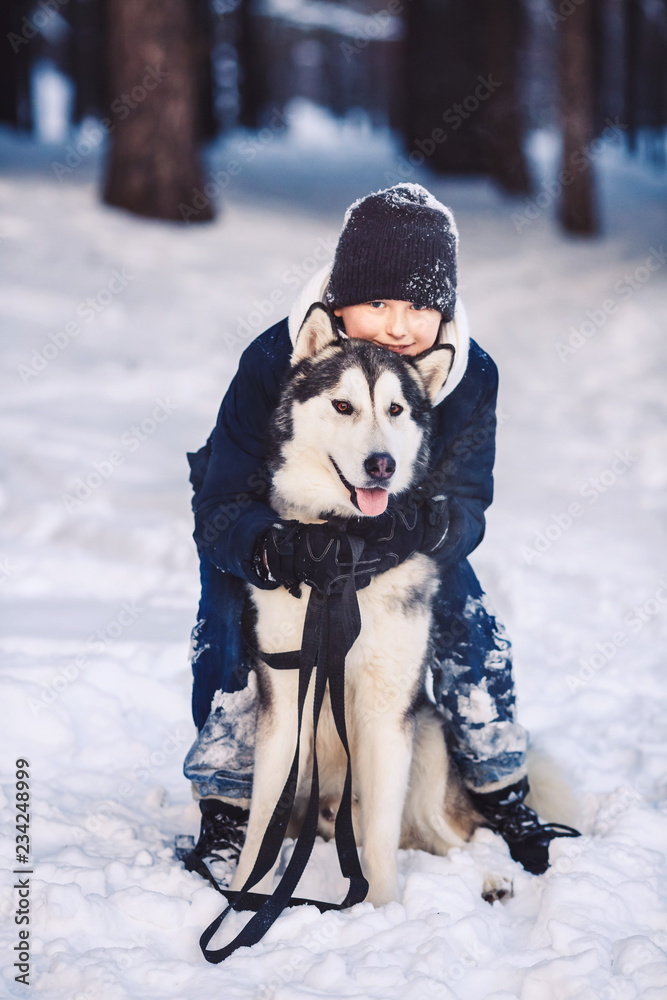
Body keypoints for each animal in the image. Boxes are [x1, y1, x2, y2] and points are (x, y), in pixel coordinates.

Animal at [234, 300, 486, 904]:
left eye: (395, 409)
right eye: (342, 405)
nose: (381, 465)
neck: (345, 552)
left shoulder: (386, 711)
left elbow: (379, 837)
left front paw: (384, 908)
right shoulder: (286, 703)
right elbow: (261, 825)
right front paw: (240, 893)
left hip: (430, 747)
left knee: (461, 835)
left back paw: (495, 877)